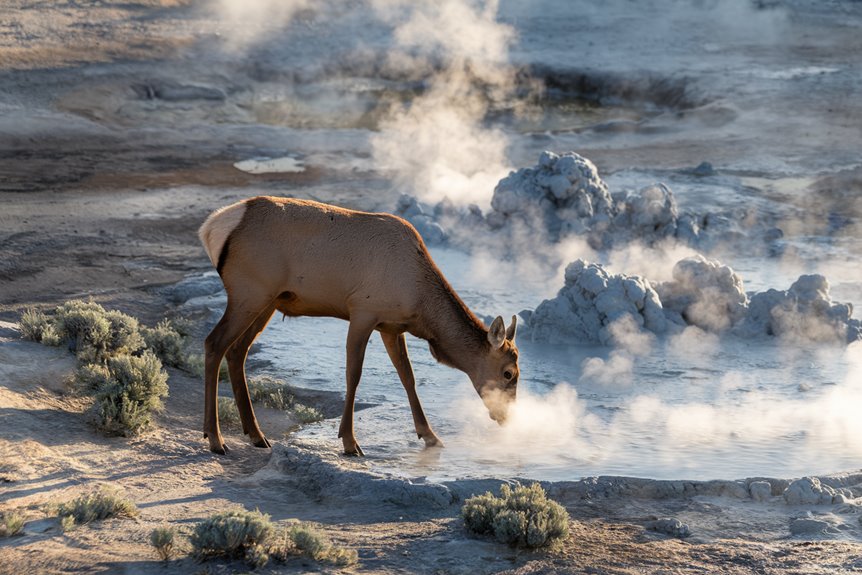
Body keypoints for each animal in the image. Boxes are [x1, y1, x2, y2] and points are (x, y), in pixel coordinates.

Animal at [199, 196, 520, 456]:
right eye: (508, 373)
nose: (507, 417)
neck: (421, 306)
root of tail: (211, 228)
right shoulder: (363, 311)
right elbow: (353, 375)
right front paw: (350, 442)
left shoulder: (391, 327)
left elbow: (408, 377)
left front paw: (430, 435)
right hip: (249, 293)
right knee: (214, 343)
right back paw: (215, 439)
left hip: (268, 301)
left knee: (237, 351)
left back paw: (256, 434)